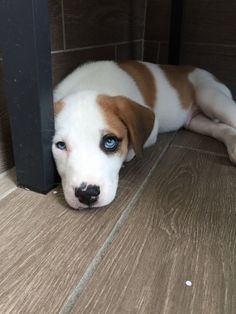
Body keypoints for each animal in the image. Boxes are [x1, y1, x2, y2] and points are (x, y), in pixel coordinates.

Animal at [52, 60, 236, 210]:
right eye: (60, 145)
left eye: (110, 142)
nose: (87, 194)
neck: (90, 85)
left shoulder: (153, 129)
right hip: (196, 122)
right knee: (219, 128)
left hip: (212, 97)